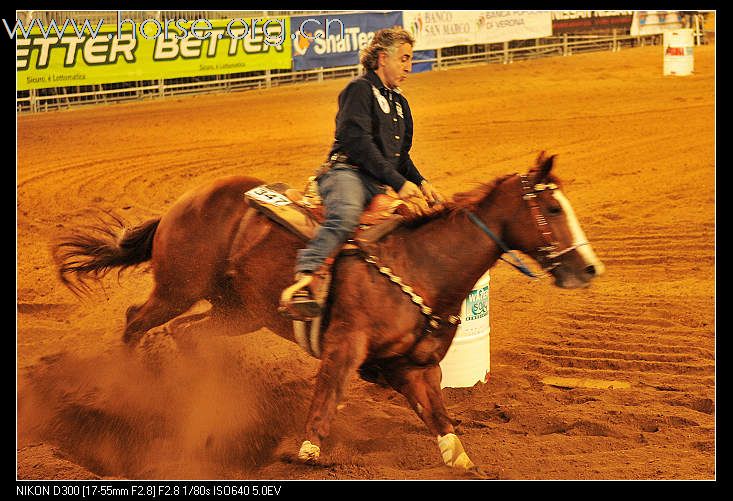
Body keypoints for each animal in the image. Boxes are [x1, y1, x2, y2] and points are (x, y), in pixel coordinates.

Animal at [50, 150, 600, 474]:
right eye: (553, 209)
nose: (588, 268)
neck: (421, 261)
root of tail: (185, 201)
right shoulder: (345, 344)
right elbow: (328, 391)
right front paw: (309, 451)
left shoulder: (412, 367)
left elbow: (440, 419)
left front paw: (461, 457)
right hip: (177, 288)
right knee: (134, 320)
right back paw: (124, 387)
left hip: (239, 311)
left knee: (188, 334)